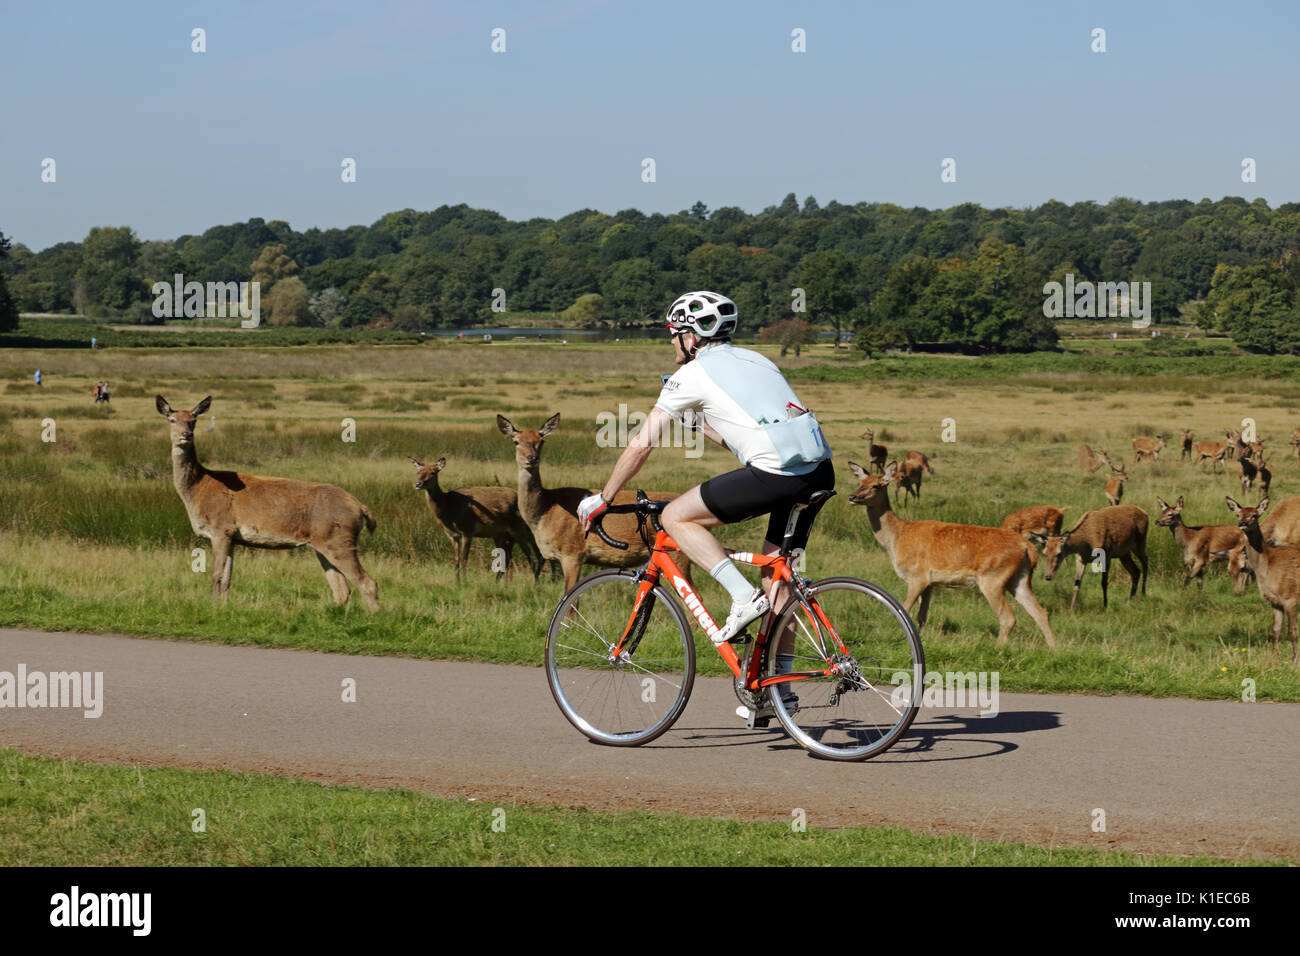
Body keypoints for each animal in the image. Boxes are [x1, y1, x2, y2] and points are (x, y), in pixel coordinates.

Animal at [405, 457, 538, 582]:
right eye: (418, 471)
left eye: (433, 472)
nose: (418, 484)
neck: (449, 510)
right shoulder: (452, 535)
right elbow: (456, 559)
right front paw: (456, 582)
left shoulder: (467, 530)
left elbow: (464, 558)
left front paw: (465, 581)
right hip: (501, 535)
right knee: (509, 558)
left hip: (518, 530)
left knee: (530, 556)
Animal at [491, 411, 686, 590]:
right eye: (516, 441)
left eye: (541, 441)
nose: (532, 458)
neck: (545, 511)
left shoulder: (573, 553)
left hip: (679, 555)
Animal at [852, 463, 1055, 650]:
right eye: (860, 482)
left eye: (876, 485)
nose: (852, 497)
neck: (896, 539)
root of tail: (1027, 546)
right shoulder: (930, 583)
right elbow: (922, 616)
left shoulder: (917, 576)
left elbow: (905, 609)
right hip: (1020, 578)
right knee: (1041, 613)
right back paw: (1055, 648)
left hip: (992, 577)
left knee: (1008, 617)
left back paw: (998, 648)